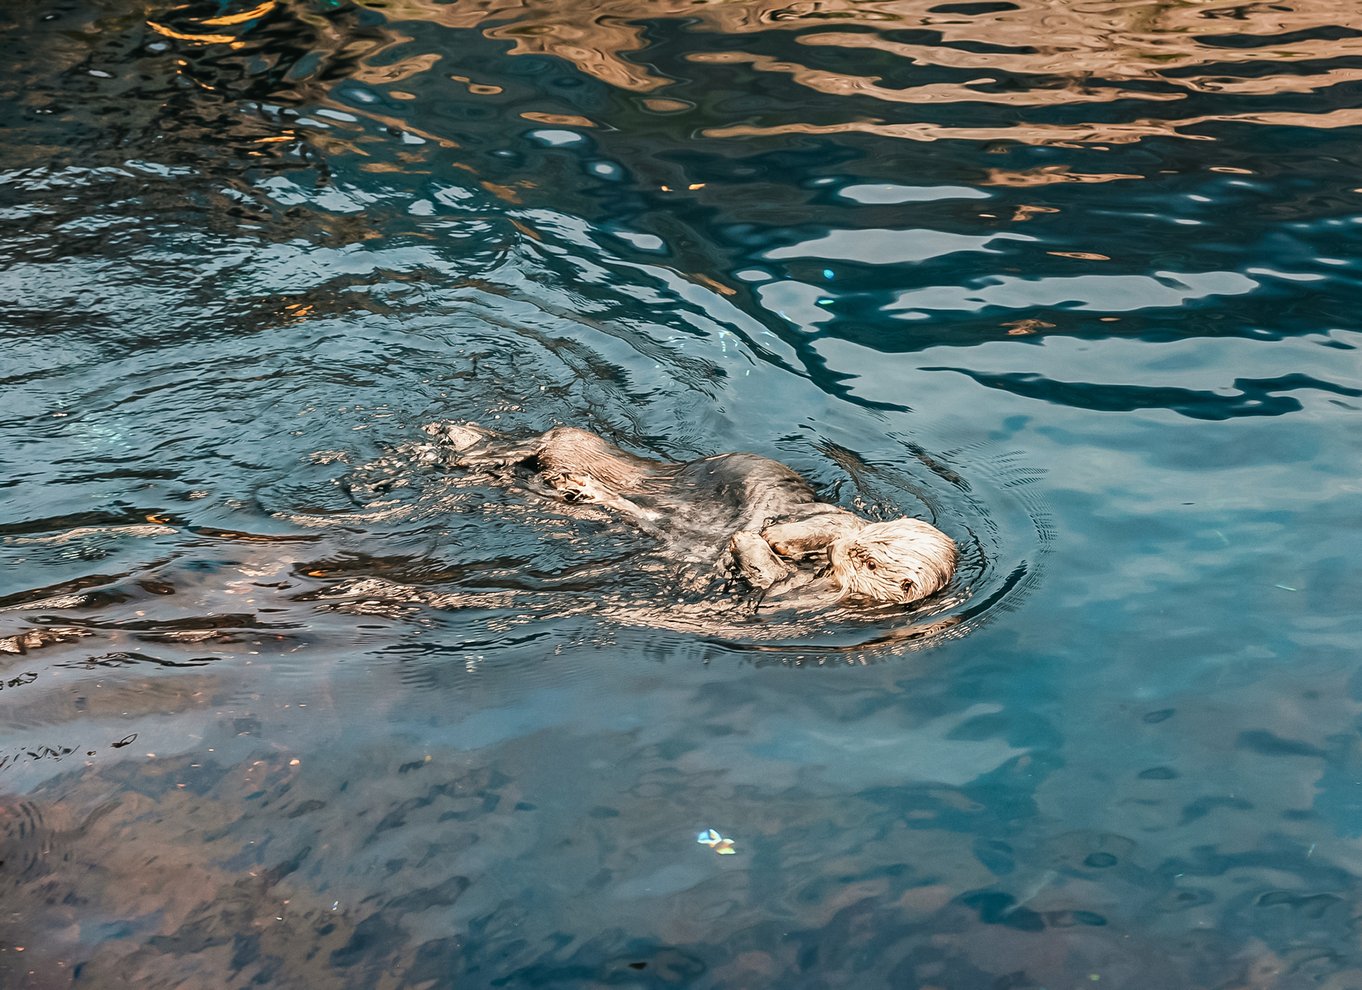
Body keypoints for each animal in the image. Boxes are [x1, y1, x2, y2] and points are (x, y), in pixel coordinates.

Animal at [424, 424, 958, 607]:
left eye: (868, 562)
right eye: (865, 549)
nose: (842, 552)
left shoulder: (802, 593)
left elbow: (769, 578)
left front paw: (752, 541)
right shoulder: (835, 518)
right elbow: (831, 518)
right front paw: (780, 534)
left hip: (576, 474)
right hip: (596, 450)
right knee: (549, 440)